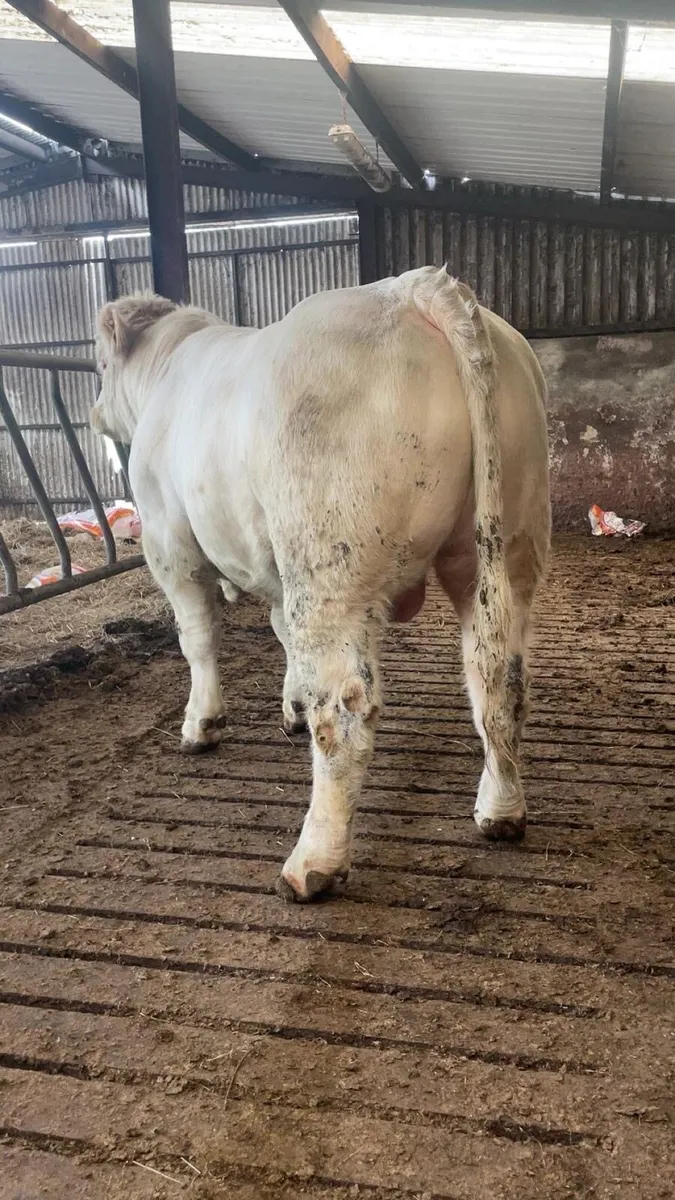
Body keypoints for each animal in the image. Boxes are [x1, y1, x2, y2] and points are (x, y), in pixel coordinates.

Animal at [91, 266, 550, 903]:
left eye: (100, 365)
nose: (93, 414)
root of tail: (418, 287)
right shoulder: (273, 567)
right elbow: (281, 635)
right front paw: (289, 709)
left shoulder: (170, 543)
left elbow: (198, 639)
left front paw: (201, 723)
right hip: (505, 546)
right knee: (498, 676)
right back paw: (500, 809)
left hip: (331, 566)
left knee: (345, 710)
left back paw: (313, 863)